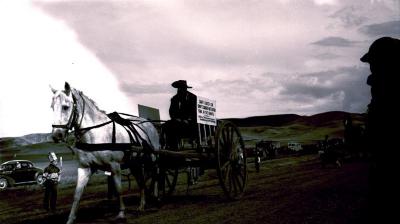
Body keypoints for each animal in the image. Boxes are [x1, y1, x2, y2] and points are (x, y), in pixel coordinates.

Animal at [50, 82, 160, 224]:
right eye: (52, 107)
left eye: (65, 107)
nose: (56, 135)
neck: (96, 135)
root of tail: (150, 124)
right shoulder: (85, 167)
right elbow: (77, 194)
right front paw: (70, 219)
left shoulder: (115, 166)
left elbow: (118, 189)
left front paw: (121, 213)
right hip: (135, 163)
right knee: (141, 181)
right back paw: (142, 205)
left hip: (153, 158)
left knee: (156, 174)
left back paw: (156, 197)